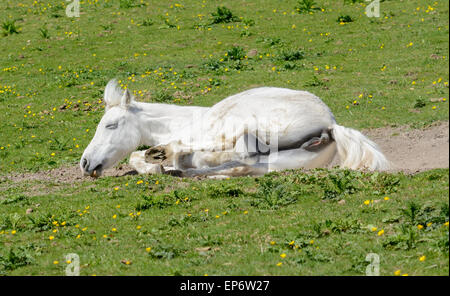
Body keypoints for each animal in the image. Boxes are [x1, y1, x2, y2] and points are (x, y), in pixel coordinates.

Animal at [81, 79, 390, 178]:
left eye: (110, 125)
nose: (85, 163)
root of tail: (331, 124)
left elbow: (140, 155)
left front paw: (159, 159)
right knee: (243, 163)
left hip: (252, 123)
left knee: (242, 154)